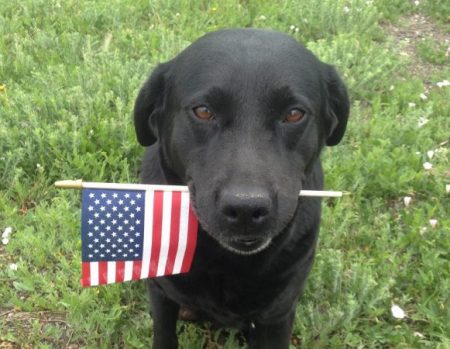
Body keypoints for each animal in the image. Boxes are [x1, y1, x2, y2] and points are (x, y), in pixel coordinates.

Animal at [132, 28, 350, 346]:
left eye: (294, 114)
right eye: (203, 111)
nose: (246, 208)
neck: (227, 261)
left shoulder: (278, 315)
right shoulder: (161, 294)